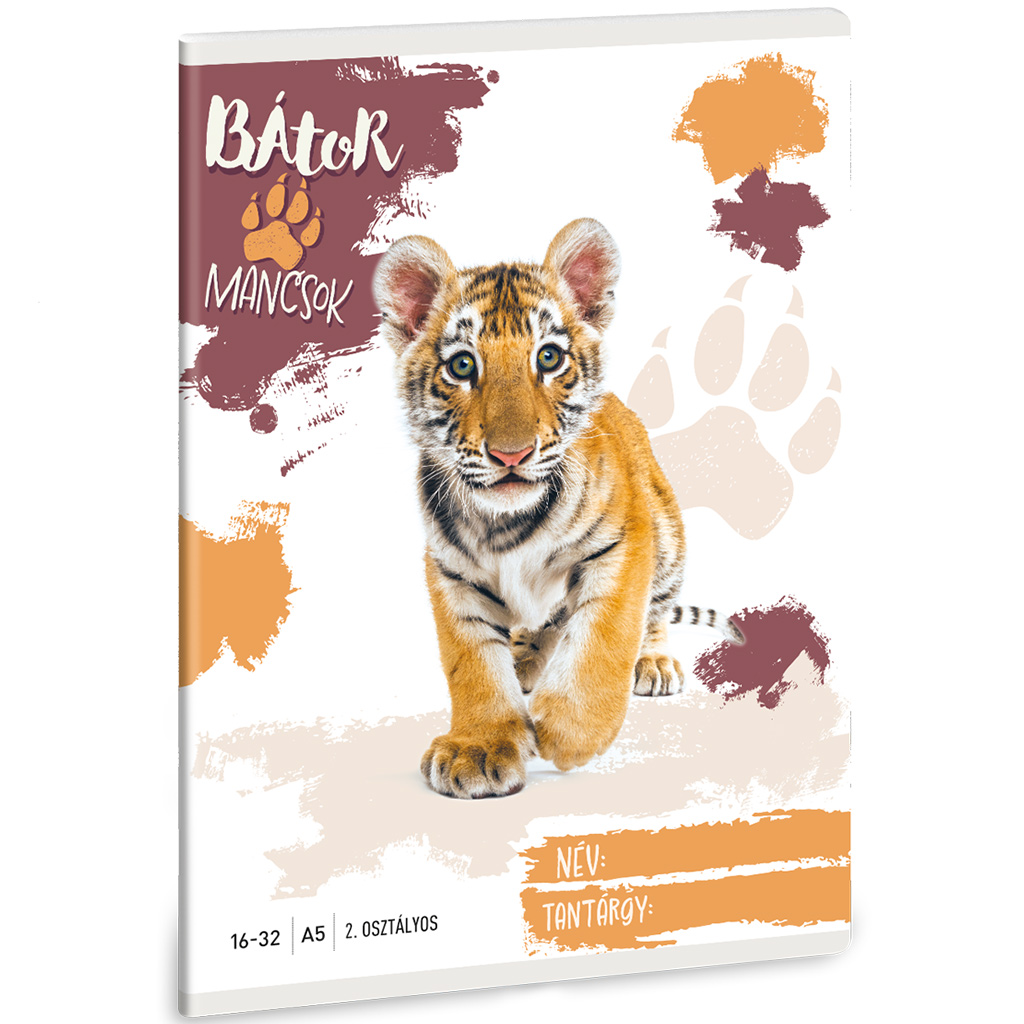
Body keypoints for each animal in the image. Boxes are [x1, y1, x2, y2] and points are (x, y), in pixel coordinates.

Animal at [372, 218, 742, 799]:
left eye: (548, 357)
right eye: (461, 365)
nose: (511, 454)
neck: (505, 524)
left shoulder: (624, 542)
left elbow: (605, 640)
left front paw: (569, 733)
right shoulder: (450, 571)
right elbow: (471, 661)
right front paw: (478, 746)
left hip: (669, 538)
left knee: (652, 614)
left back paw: (653, 663)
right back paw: (525, 657)